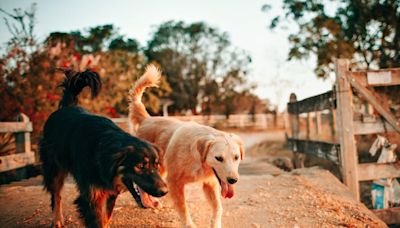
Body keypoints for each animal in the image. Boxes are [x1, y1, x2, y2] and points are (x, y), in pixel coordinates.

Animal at [39, 70, 167, 228]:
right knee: (56, 195)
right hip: (54, 169)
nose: (165, 191)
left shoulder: (110, 192)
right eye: (140, 166)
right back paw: (57, 219)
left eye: (157, 165)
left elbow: (105, 219)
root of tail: (66, 107)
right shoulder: (91, 198)